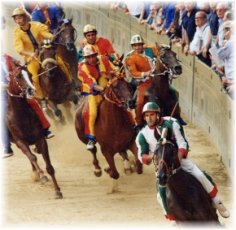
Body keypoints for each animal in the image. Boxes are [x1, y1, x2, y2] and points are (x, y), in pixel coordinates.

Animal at [6, 63, 62, 199]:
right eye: (18, 76)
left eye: (30, 74)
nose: (31, 90)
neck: (21, 115)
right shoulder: (20, 141)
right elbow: (32, 157)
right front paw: (41, 175)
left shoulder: (40, 139)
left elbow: (49, 166)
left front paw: (57, 190)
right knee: (30, 156)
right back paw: (36, 173)